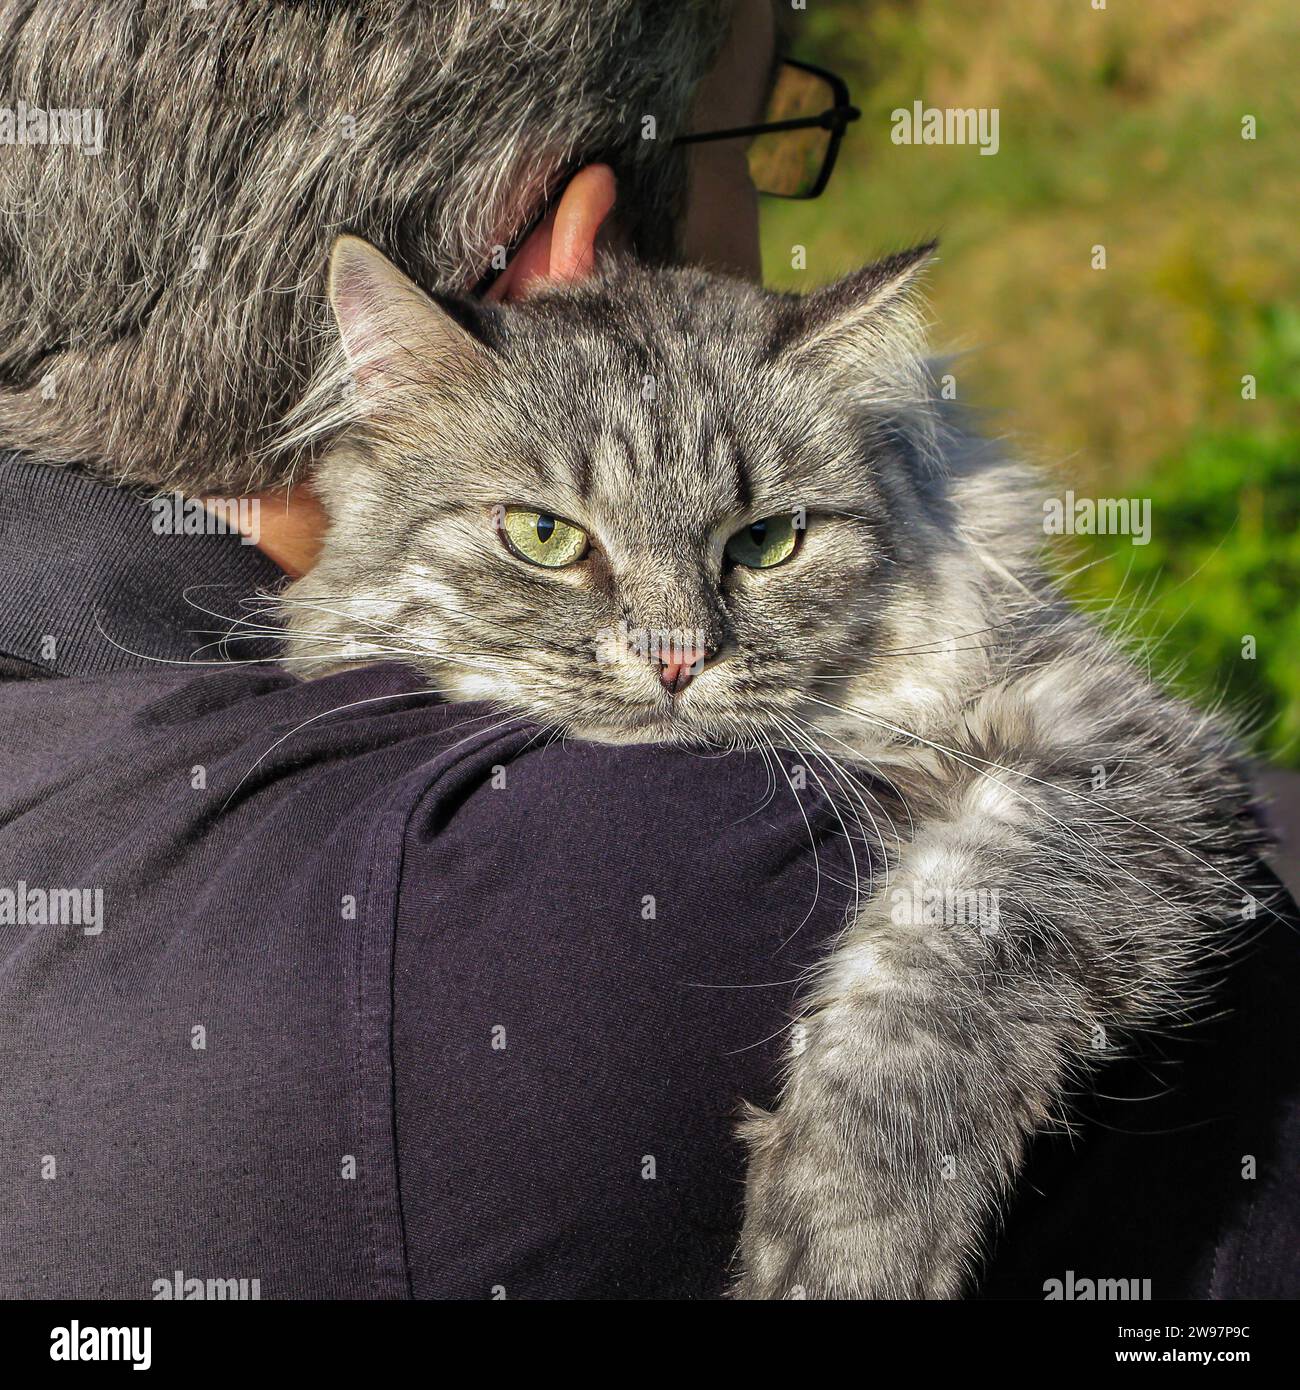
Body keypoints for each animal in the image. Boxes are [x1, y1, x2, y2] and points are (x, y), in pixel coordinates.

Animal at [276, 230, 1273, 1301]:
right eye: (544, 537)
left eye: (765, 542)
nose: (676, 659)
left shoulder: (1107, 741)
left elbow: (950, 956)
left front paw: (848, 1235)